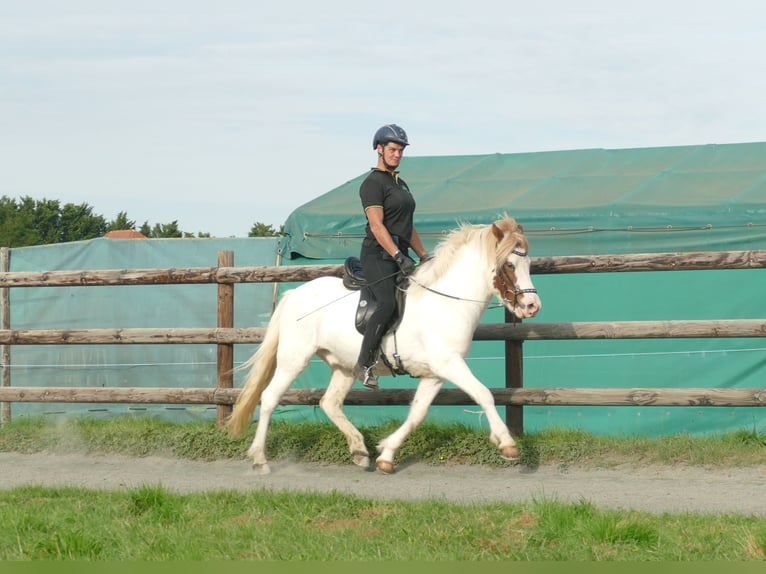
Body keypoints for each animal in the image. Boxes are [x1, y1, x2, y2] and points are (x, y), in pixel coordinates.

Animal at [225, 217, 544, 476]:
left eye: (528, 264)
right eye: (510, 265)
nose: (532, 306)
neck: (445, 301)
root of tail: (294, 294)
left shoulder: (434, 374)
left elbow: (416, 415)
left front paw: (386, 455)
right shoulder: (449, 363)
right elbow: (484, 394)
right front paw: (507, 445)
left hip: (344, 365)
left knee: (330, 403)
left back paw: (359, 451)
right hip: (294, 358)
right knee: (269, 398)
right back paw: (259, 460)